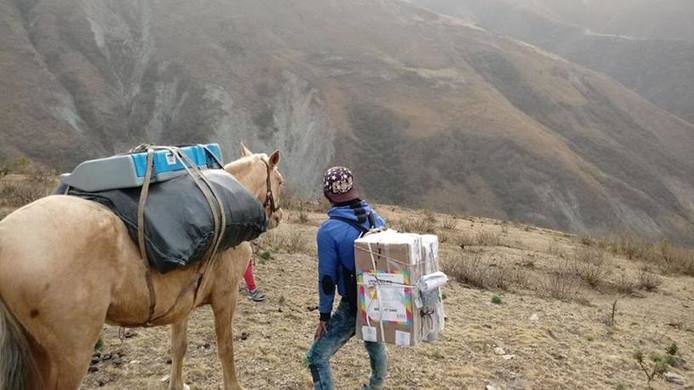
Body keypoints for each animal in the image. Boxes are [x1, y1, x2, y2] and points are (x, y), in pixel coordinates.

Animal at [0, 144, 286, 390]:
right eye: (281, 181)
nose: (278, 216)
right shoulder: (226, 297)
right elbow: (226, 348)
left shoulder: (183, 304)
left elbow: (179, 346)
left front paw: (177, 384)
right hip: (67, 358)